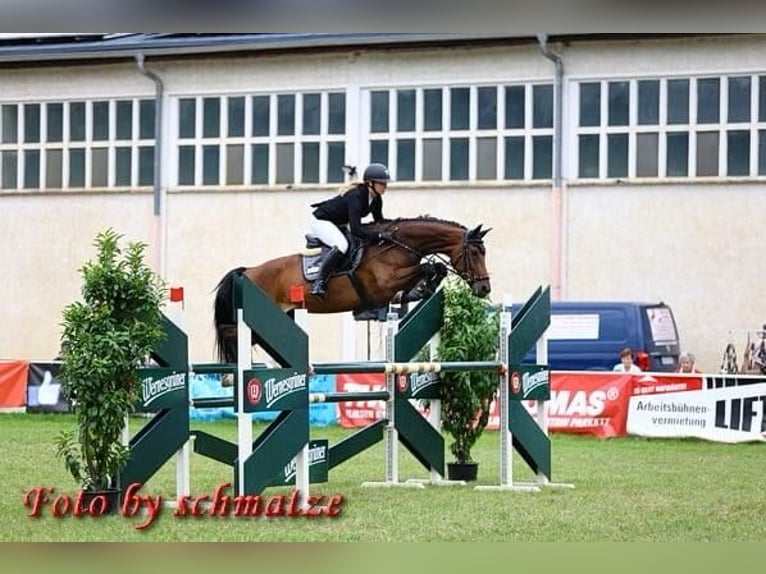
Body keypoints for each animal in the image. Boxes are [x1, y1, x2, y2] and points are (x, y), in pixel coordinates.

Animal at [214, 217, 492, 364]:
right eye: (474, 252)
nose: (484, 288)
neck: (397, 246)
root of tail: (248, 271)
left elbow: (433, 269)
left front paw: (422, 289)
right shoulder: (384, 283)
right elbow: (426, 267)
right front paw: (423, 284)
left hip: (282, 316)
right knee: (231, 332)